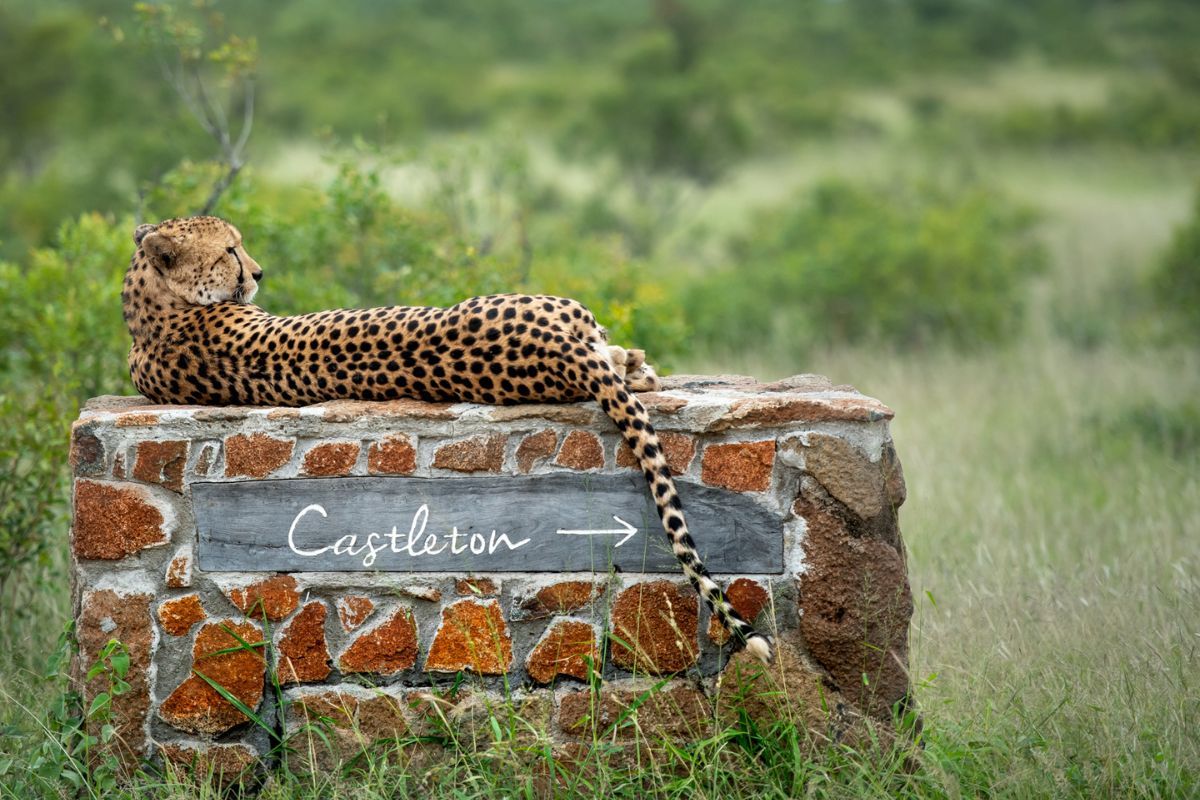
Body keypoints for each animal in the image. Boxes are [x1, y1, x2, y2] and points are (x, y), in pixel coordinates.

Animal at [123, 215, 773, 663]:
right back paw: (637, 364)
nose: (257, 273)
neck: (150, 314)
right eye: (229, 249)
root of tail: (553, 347)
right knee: (616, 362)